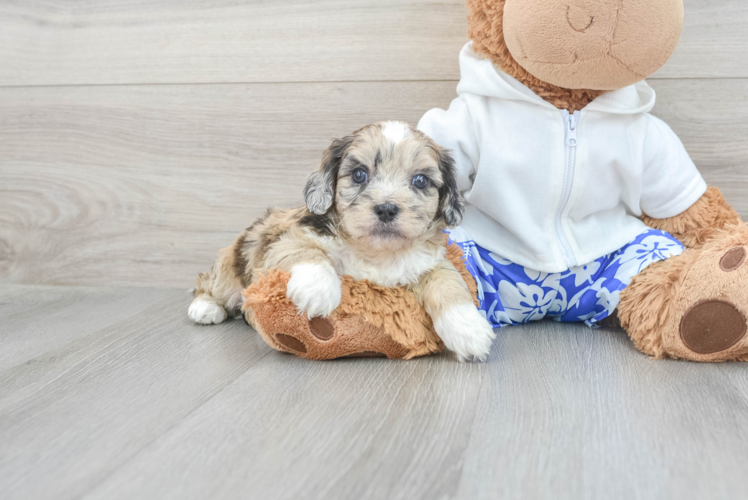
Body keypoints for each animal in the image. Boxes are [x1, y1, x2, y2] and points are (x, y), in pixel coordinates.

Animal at [187, 122, 494, 364]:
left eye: (420, 180)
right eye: (359, 174)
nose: (386, 209)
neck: (375, 252)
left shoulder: (431, 263)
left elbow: (449, 282)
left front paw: (469, 329)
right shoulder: (287, 238)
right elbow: (307, 251)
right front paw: (318, 290)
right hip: (230, 266)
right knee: (207, 284)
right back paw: (205, 308)